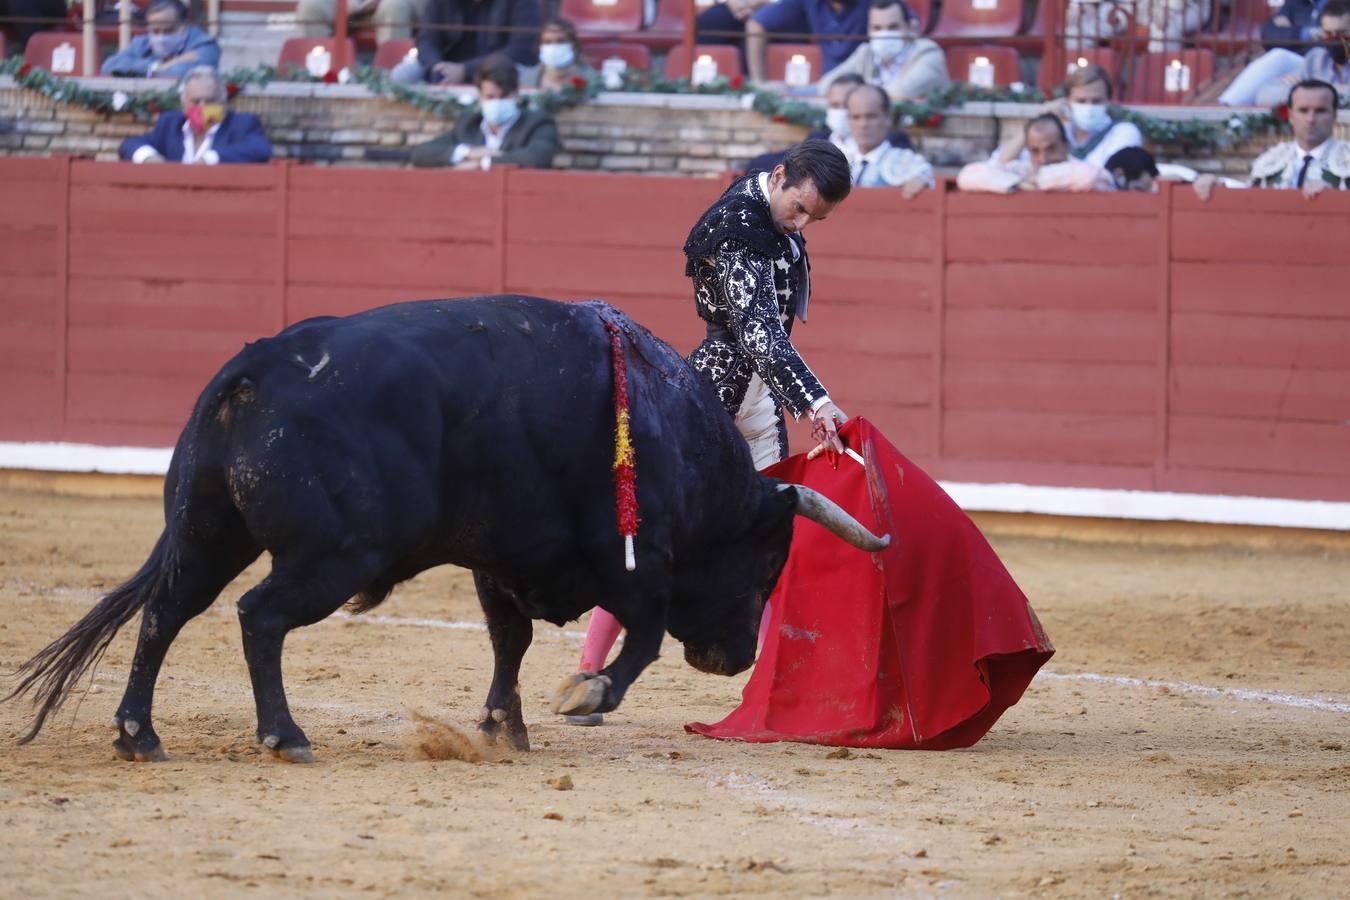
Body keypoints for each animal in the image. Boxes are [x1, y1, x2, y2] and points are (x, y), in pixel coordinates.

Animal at [13, 295, 896, 761]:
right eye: (767, 564)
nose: (732, 658)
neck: (676, 433)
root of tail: (247, 372)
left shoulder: (496, 558)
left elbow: (510, 639)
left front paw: (505, 725)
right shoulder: (639, 561)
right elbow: (637, 638)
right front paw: (586, 694)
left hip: (208, 534)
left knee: (166, 612)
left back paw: (139, 733)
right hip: (331, 556)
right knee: (257, 617)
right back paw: (284, 734)